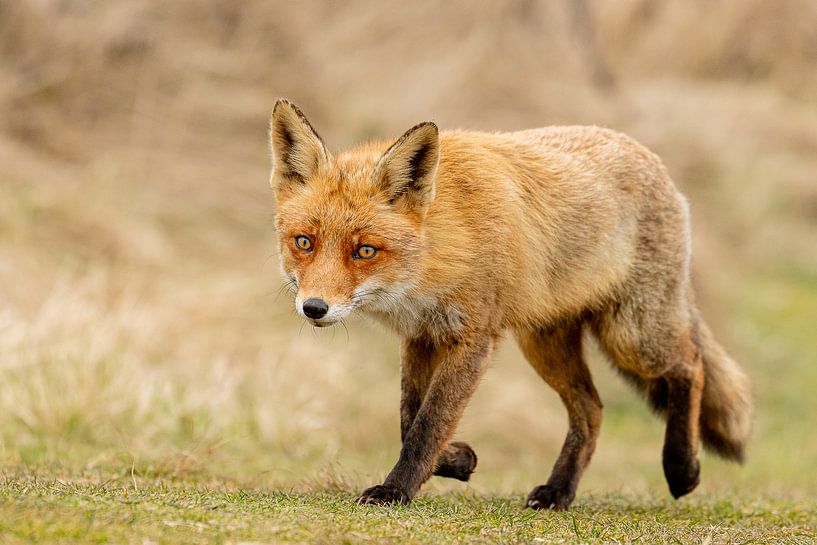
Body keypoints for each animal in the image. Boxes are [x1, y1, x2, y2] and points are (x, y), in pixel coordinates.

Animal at [268, 98, 753, 510]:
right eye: (304, 242)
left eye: (365, 250)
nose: (314, 308)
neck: (442, 250)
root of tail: (653, 160)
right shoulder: (422, 336)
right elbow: (410, 418)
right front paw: (457, 459)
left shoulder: (473, 337)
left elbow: (428, 423)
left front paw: (396, 490)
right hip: (545, 345)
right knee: (593, 410)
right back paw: (559, 492)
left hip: (632, 336)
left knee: (691, 365)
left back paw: (682, 467)